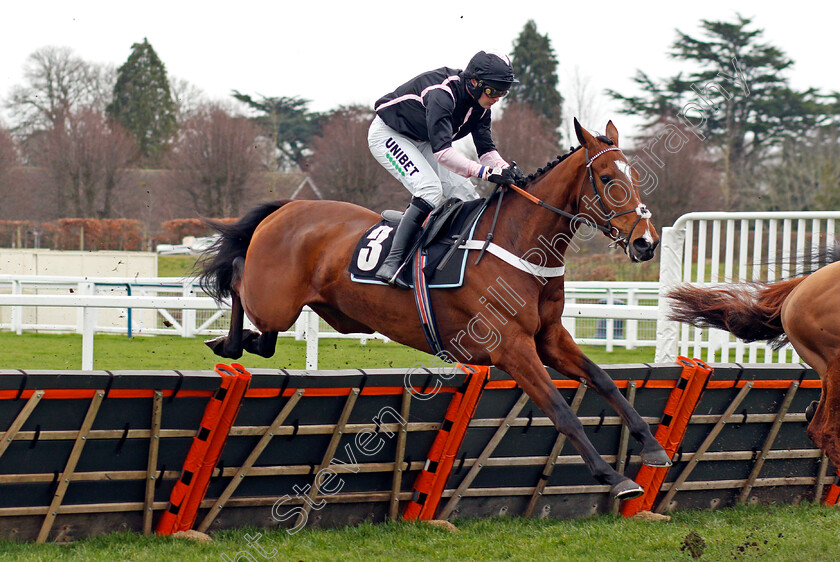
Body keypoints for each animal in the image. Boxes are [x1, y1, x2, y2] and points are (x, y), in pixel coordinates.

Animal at [200, 120, 672, 496]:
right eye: (608, 178)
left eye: (632, 175)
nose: (646, 242)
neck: (519, 244)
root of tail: (288, 207)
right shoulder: (512, 348)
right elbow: (562, 411)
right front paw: (613, 477)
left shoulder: (551, 339)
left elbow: (605, 381)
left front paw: (652, 446)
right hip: (274, 299)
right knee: (237, 276)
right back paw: (227, 342)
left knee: (265, 334)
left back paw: (241, 341)